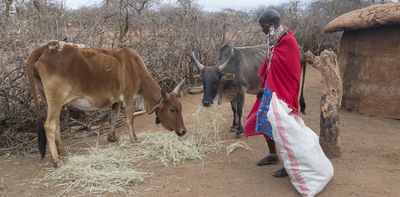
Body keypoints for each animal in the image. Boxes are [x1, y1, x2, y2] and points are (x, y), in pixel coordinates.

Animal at [27, 40, 187, 167]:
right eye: (172, 109)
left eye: (181, 108)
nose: (183, 131)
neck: (134, 67)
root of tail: (44, 47)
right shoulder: (128, 97)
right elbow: (130, 119)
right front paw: (134, 140)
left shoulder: (116, 101)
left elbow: (113, 117)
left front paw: (112, 137)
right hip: (56, 99)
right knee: (49, 126)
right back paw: (56, 161)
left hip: (52, 101)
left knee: (56, 125)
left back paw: (64, 153)